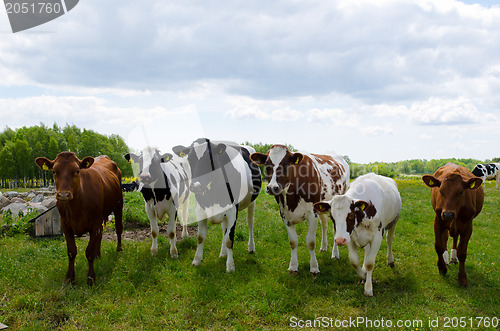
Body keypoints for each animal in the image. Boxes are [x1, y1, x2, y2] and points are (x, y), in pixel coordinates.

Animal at [35, 152, 123, 286]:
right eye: (54, 171)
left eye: (77, 171)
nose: (63, 195)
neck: (76, 207)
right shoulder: (65, 224)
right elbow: (71, 251)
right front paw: (70, 278)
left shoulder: (95, 222)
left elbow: (89, 252)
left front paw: (91, 278)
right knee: (100, 235)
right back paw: (98, 255)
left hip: (119, 205)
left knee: (118, 228)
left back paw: (118, 249)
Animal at [173, 139, 262, 274]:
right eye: (190, 158)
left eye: (211, 158)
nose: (196, 185)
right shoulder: (200, 210)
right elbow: (201, 237)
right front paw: (196, 260)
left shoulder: (233, 211)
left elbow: (230, 239)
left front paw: (230, 266)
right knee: (224, 229)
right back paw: (223, 253)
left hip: (252, 202)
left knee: (250, 223)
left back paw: (251, 247)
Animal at [252, 145, 350, 274]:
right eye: (267, 165)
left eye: (286, 164)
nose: (272, 188)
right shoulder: (284, 215)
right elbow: (293, 242)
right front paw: (293, 266)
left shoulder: (312, 214)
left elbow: (311, 242)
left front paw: (314, 267)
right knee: (324, 224)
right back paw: (324, 246)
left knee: (335, 229)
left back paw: (335, 253)